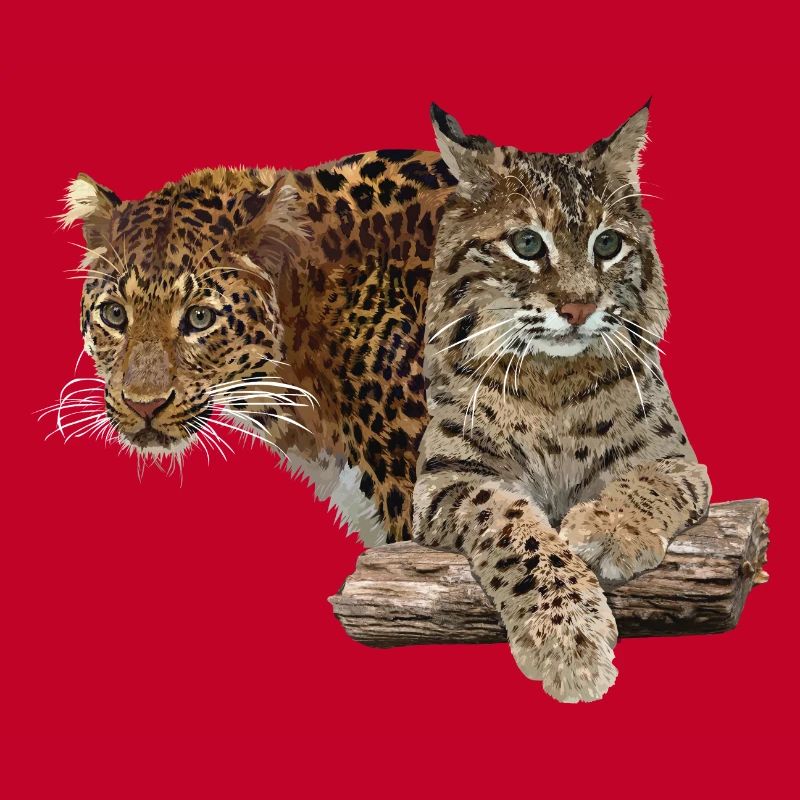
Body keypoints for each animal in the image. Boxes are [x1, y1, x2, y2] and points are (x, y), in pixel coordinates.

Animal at [412, 103, 711, 702]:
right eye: (528, 245)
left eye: (607, 245)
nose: (578, 308)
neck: (553, 377)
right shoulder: (445, 480)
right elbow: (513, 527)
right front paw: (568, 640)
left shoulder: (678, 461)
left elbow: (648, 480)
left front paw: (611, 528)